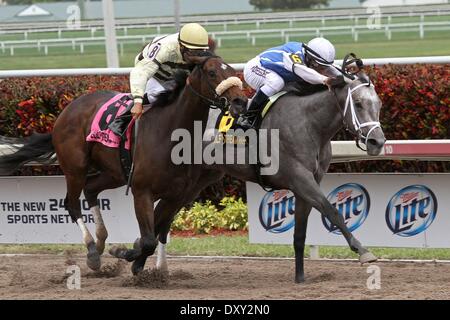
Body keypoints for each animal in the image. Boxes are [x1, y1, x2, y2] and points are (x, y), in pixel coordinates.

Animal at [0, 53, 248, 274]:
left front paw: (140, 261)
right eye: (212, 72)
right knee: (71, 203)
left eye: (231, 71)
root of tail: (68, 110)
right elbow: (148, 239)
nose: (240, 101)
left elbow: (157, 232)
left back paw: (101, 241)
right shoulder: (142, 191)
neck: (170, 132)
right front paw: (126, 254)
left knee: (91, 189)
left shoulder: (177, 195)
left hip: (115, 173)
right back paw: (92, 250)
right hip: (75, 168)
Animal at [153, 70, 384, 282]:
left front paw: (300, 277)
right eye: (358, 103)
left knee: (163, 214)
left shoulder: (307, 185)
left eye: (379, 104)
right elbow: (332, 211)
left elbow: (300, 234)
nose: (378, 142)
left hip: (198, 180)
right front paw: (363, 251)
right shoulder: (301, 179)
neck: (309, 124)